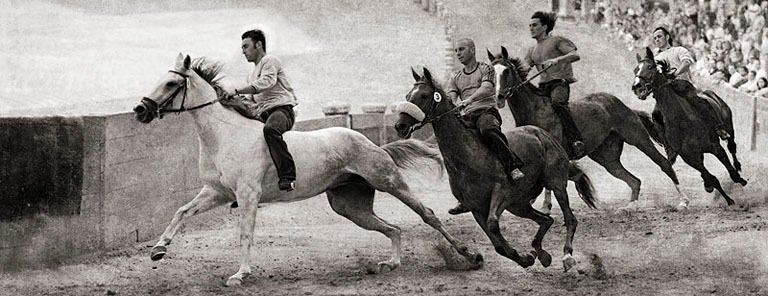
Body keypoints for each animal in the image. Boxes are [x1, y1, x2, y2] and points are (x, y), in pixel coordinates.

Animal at [132, 54, 480, 286]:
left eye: (171, 82)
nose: (140, 110)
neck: (224, 134)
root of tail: (371, 144)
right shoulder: (216, 192)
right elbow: (181, 211)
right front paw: (158, 250)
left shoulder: (247, 195)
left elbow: (245, 234)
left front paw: (240, 274)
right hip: (349, 206)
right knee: (394, 229)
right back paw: (390, 264)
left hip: (389, 181)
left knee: (428, 214)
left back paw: (469, 255)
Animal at [392, 68, 596, 272]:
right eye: (408, 95)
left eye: (424, 95)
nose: (400, 126)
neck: (467, 155)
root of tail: (541, 134)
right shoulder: (476, 208)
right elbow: (498, 245)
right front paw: (526, 258)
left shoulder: (502, 192)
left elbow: (493, 225)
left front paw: (527, 257)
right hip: (519, 205)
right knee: (547, 220)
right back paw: (542, 253)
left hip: (555, 184)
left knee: (569, 218)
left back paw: (567, 256)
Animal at [486, 46, 688, 209]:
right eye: (491, 72)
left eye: (506, 70)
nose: (499, 96)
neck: (535, 110)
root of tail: (623, 106)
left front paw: (545, 206)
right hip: (606, 157)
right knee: (634, 181)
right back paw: (630, 207)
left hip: (638, 138)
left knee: (664, 164)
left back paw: (683, 201)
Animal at [632, 46, 748, 206]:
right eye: (635, 70)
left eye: (650, 67)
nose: (636, 87)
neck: (681, 120)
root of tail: (709, 93)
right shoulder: (691, 158)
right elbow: (712, 178)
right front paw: (728, 200)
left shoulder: (715, 147)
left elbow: (730, 171)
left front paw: (739, 181)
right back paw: (708, 185)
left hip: (729, 127)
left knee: (731, 146)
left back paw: (738, 166)